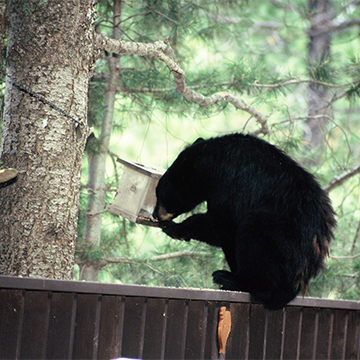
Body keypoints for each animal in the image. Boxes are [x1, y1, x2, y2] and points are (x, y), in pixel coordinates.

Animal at [153, 132, 338, 310]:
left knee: (253, 238)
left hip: (277, 235)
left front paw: (176, 228)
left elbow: (222, 224)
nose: (155, 215)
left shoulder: (230, 185)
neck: (213, 162)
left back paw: (230, 278)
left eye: (160, 193)